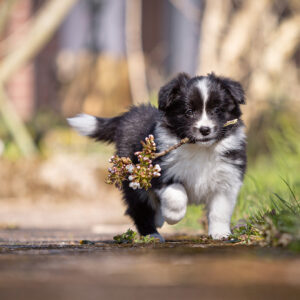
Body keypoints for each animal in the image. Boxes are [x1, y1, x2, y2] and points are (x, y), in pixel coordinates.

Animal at [67, 72, 246, 241]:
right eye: (189, 112)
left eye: (217, 110)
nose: (205, 130)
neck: (200, 149)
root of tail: (130, 115)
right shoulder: (162, 171)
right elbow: (176, 194)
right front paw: (173, 216)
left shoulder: (227, 180)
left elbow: (220, 211)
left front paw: (221, 234)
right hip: (135, 183)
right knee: (140, 210)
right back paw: (152, 234)